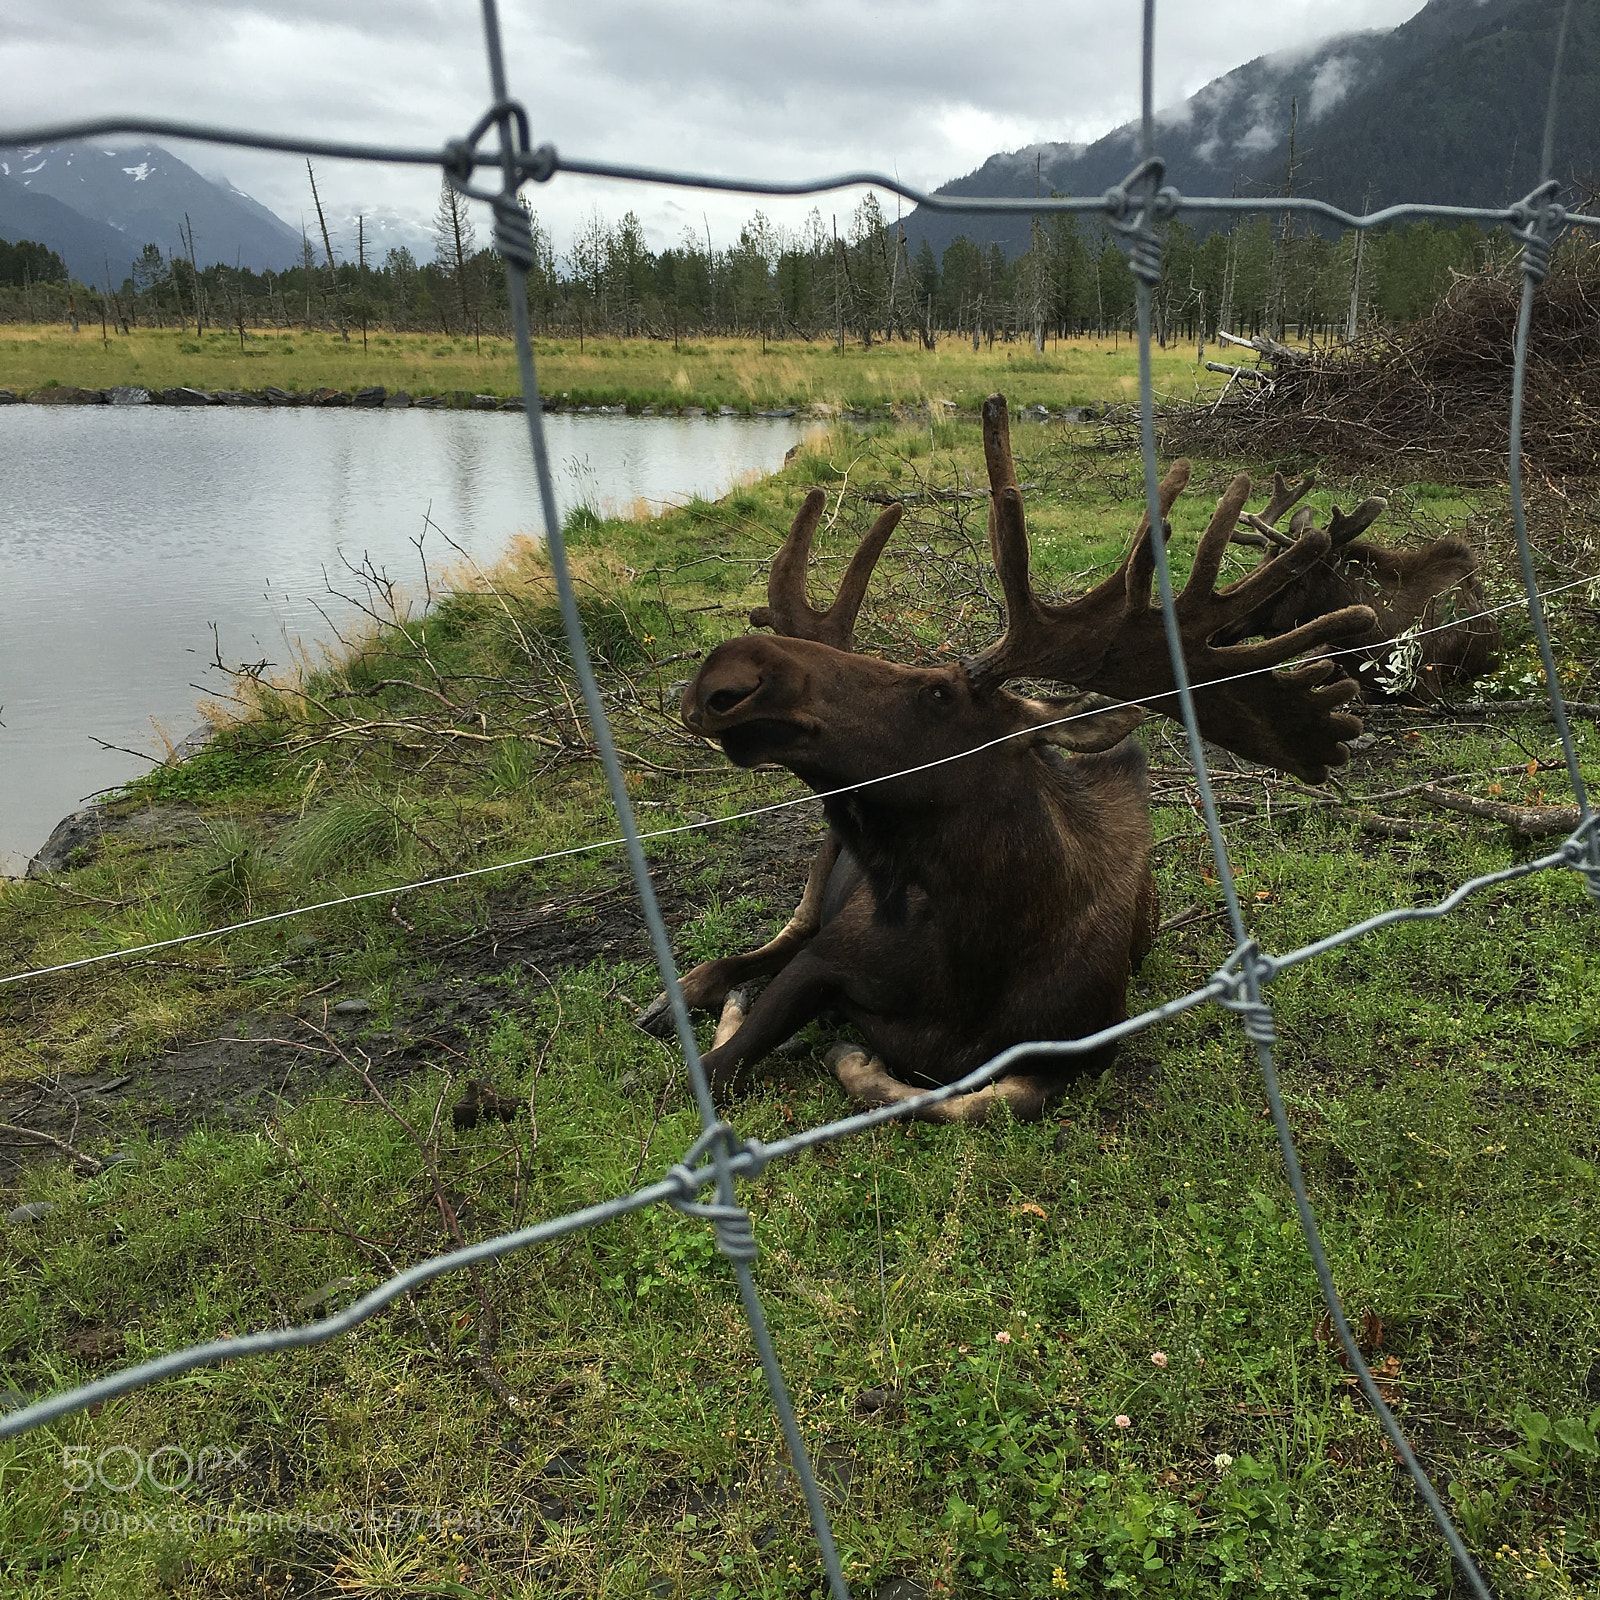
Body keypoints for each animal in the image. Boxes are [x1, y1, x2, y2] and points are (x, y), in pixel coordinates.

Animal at [642, 396, 1377, 1123]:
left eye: (938, 692)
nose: (726, 673)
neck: (979, 957)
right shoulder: (825, 961)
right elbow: (710, 1075)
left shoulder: (1082, 1048)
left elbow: (978, 1102)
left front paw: (856, 1062)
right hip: (823, 869)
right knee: (769, 943)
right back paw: (684, 995)